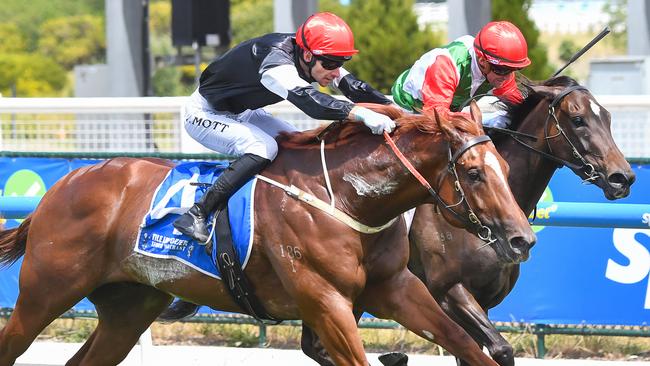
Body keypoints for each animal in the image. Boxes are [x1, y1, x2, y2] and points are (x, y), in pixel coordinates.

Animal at [0, 102, 532, 366]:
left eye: (506, 168)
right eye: (473, 172)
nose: (522, 240)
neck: (345, 196)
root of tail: (60, 188)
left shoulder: (397, 288)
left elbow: (469, 346)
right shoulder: (325, 301)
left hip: (129, 308)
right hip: (45, 293)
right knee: (13, 344)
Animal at [302, 76, 636, 364]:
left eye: (607, 117)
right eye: (578, 120)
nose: (623, 177)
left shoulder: (484, 300)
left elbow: (470, 351)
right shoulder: (450, 292)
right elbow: (500, 349)